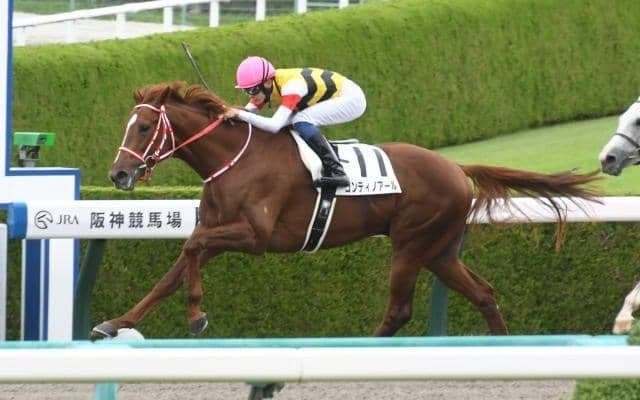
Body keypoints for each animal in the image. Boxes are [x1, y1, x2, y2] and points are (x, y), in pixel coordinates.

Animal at [92, 81, 601, 340]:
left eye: (143, 127)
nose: (118, 174)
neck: (235, 158)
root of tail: (456, 167)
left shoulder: (255, 236)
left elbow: (193, 248)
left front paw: (197, 315)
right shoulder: (221, 231)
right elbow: (173, 271)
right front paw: (114, 324)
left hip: (412, 244)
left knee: (399, 310)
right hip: (439, 250)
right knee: (484, 293)